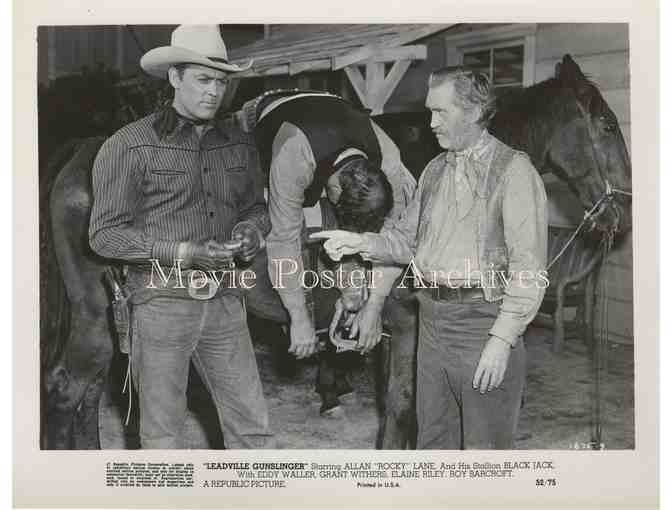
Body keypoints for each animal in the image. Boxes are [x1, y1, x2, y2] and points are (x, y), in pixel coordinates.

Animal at [40, 53, 632, 448]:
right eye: (606, 124)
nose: (620, 216)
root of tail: (85, 154)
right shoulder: (409, 324)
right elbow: (401, 407)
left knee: (82, 394)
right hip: (100, 318)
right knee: (68, 388)